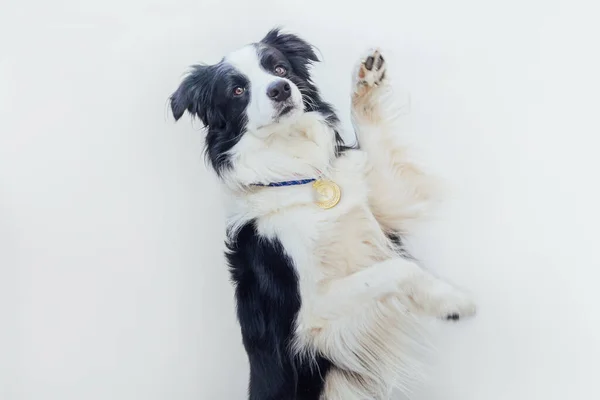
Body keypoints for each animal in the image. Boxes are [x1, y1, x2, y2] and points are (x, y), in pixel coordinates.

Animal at [168, 28, 474, 400]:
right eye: (237, 90)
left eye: (279, 68)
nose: (280, 89)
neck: (299, 174)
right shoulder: (310, 315)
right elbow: (398, 268)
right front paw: (451, 302)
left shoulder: (384, 210)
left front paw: (365, 79)